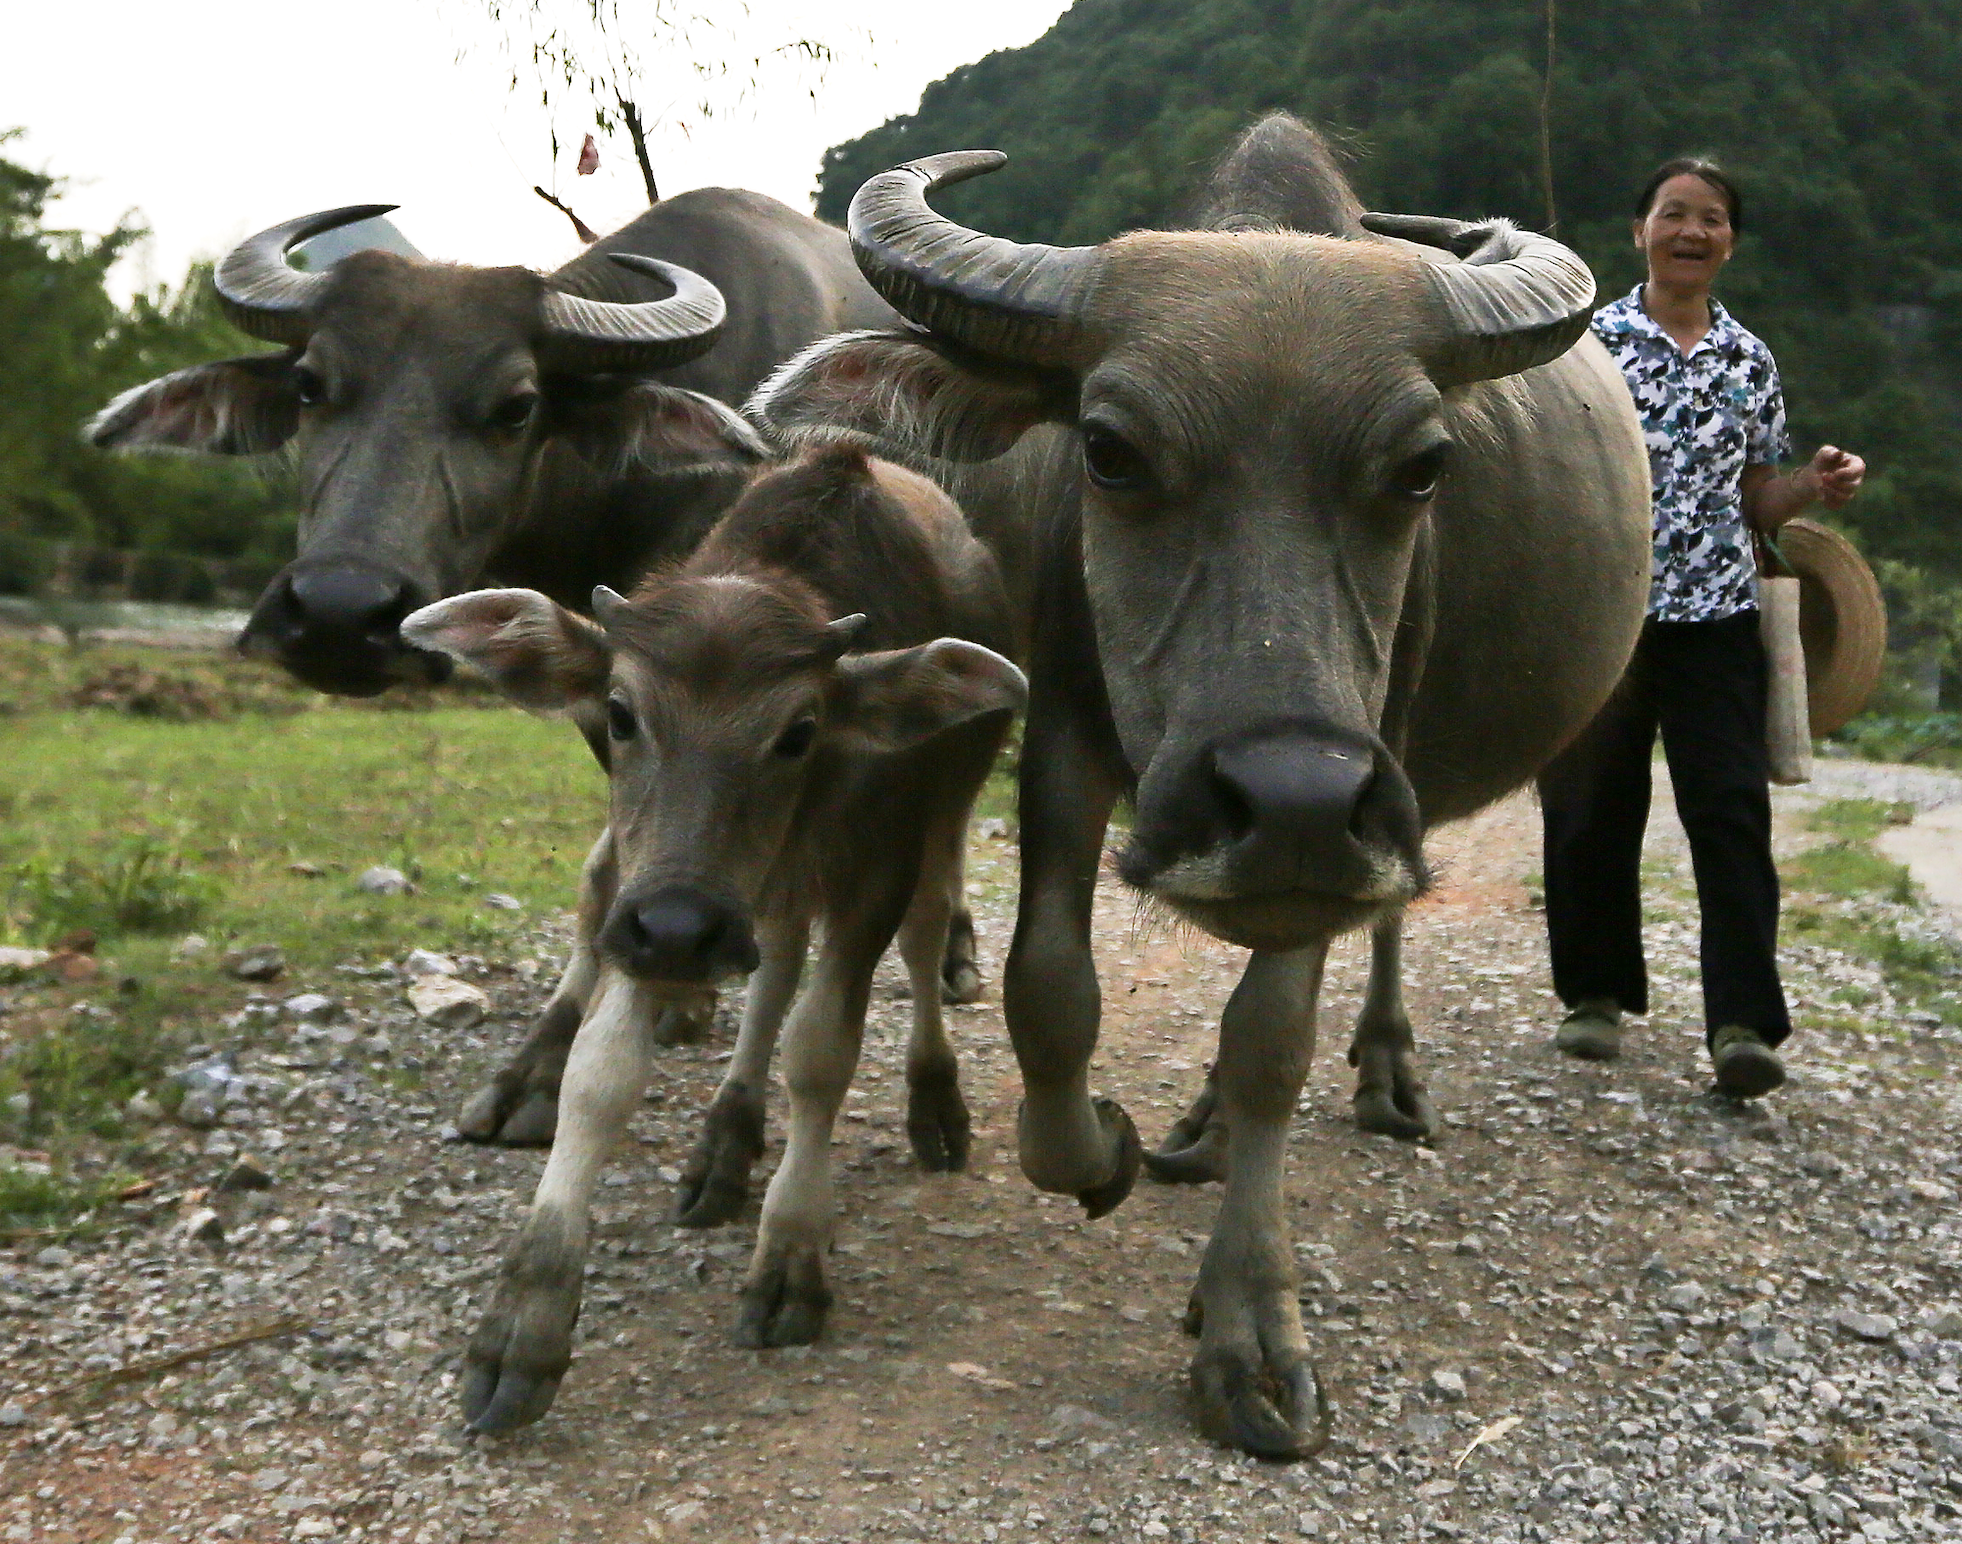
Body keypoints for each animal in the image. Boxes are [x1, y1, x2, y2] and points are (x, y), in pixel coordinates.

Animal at [87, 197, 988, 1147]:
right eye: (309, 386)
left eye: (516, 406)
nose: (337, 612)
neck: (620, 501)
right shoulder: (610, 682)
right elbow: (608, 871)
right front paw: (544, 1063)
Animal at [399, 442, 1026, 1434]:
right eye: (619, 713)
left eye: (801, 730)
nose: (684, 933)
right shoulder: (649, 900)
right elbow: (598, 1075)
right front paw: (525, 1321)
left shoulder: (871, 870)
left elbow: (821, 1054)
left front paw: (792, 1253)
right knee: (774, 965)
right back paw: (729, 1135)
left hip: (947, 805)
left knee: (926, 935)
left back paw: (932, 1101)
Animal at [749, 115, 1652, 1457]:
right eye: (1109, 452)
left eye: (1423, 467)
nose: (1283, 792)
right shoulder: (1068, 737)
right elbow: (1047, 990)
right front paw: (1104, 1148)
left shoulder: (1349, 812)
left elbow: (1275, 1033)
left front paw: (1248, 1330)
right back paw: (1201, 1127)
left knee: (1381, 925)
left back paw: (1383, 1070)